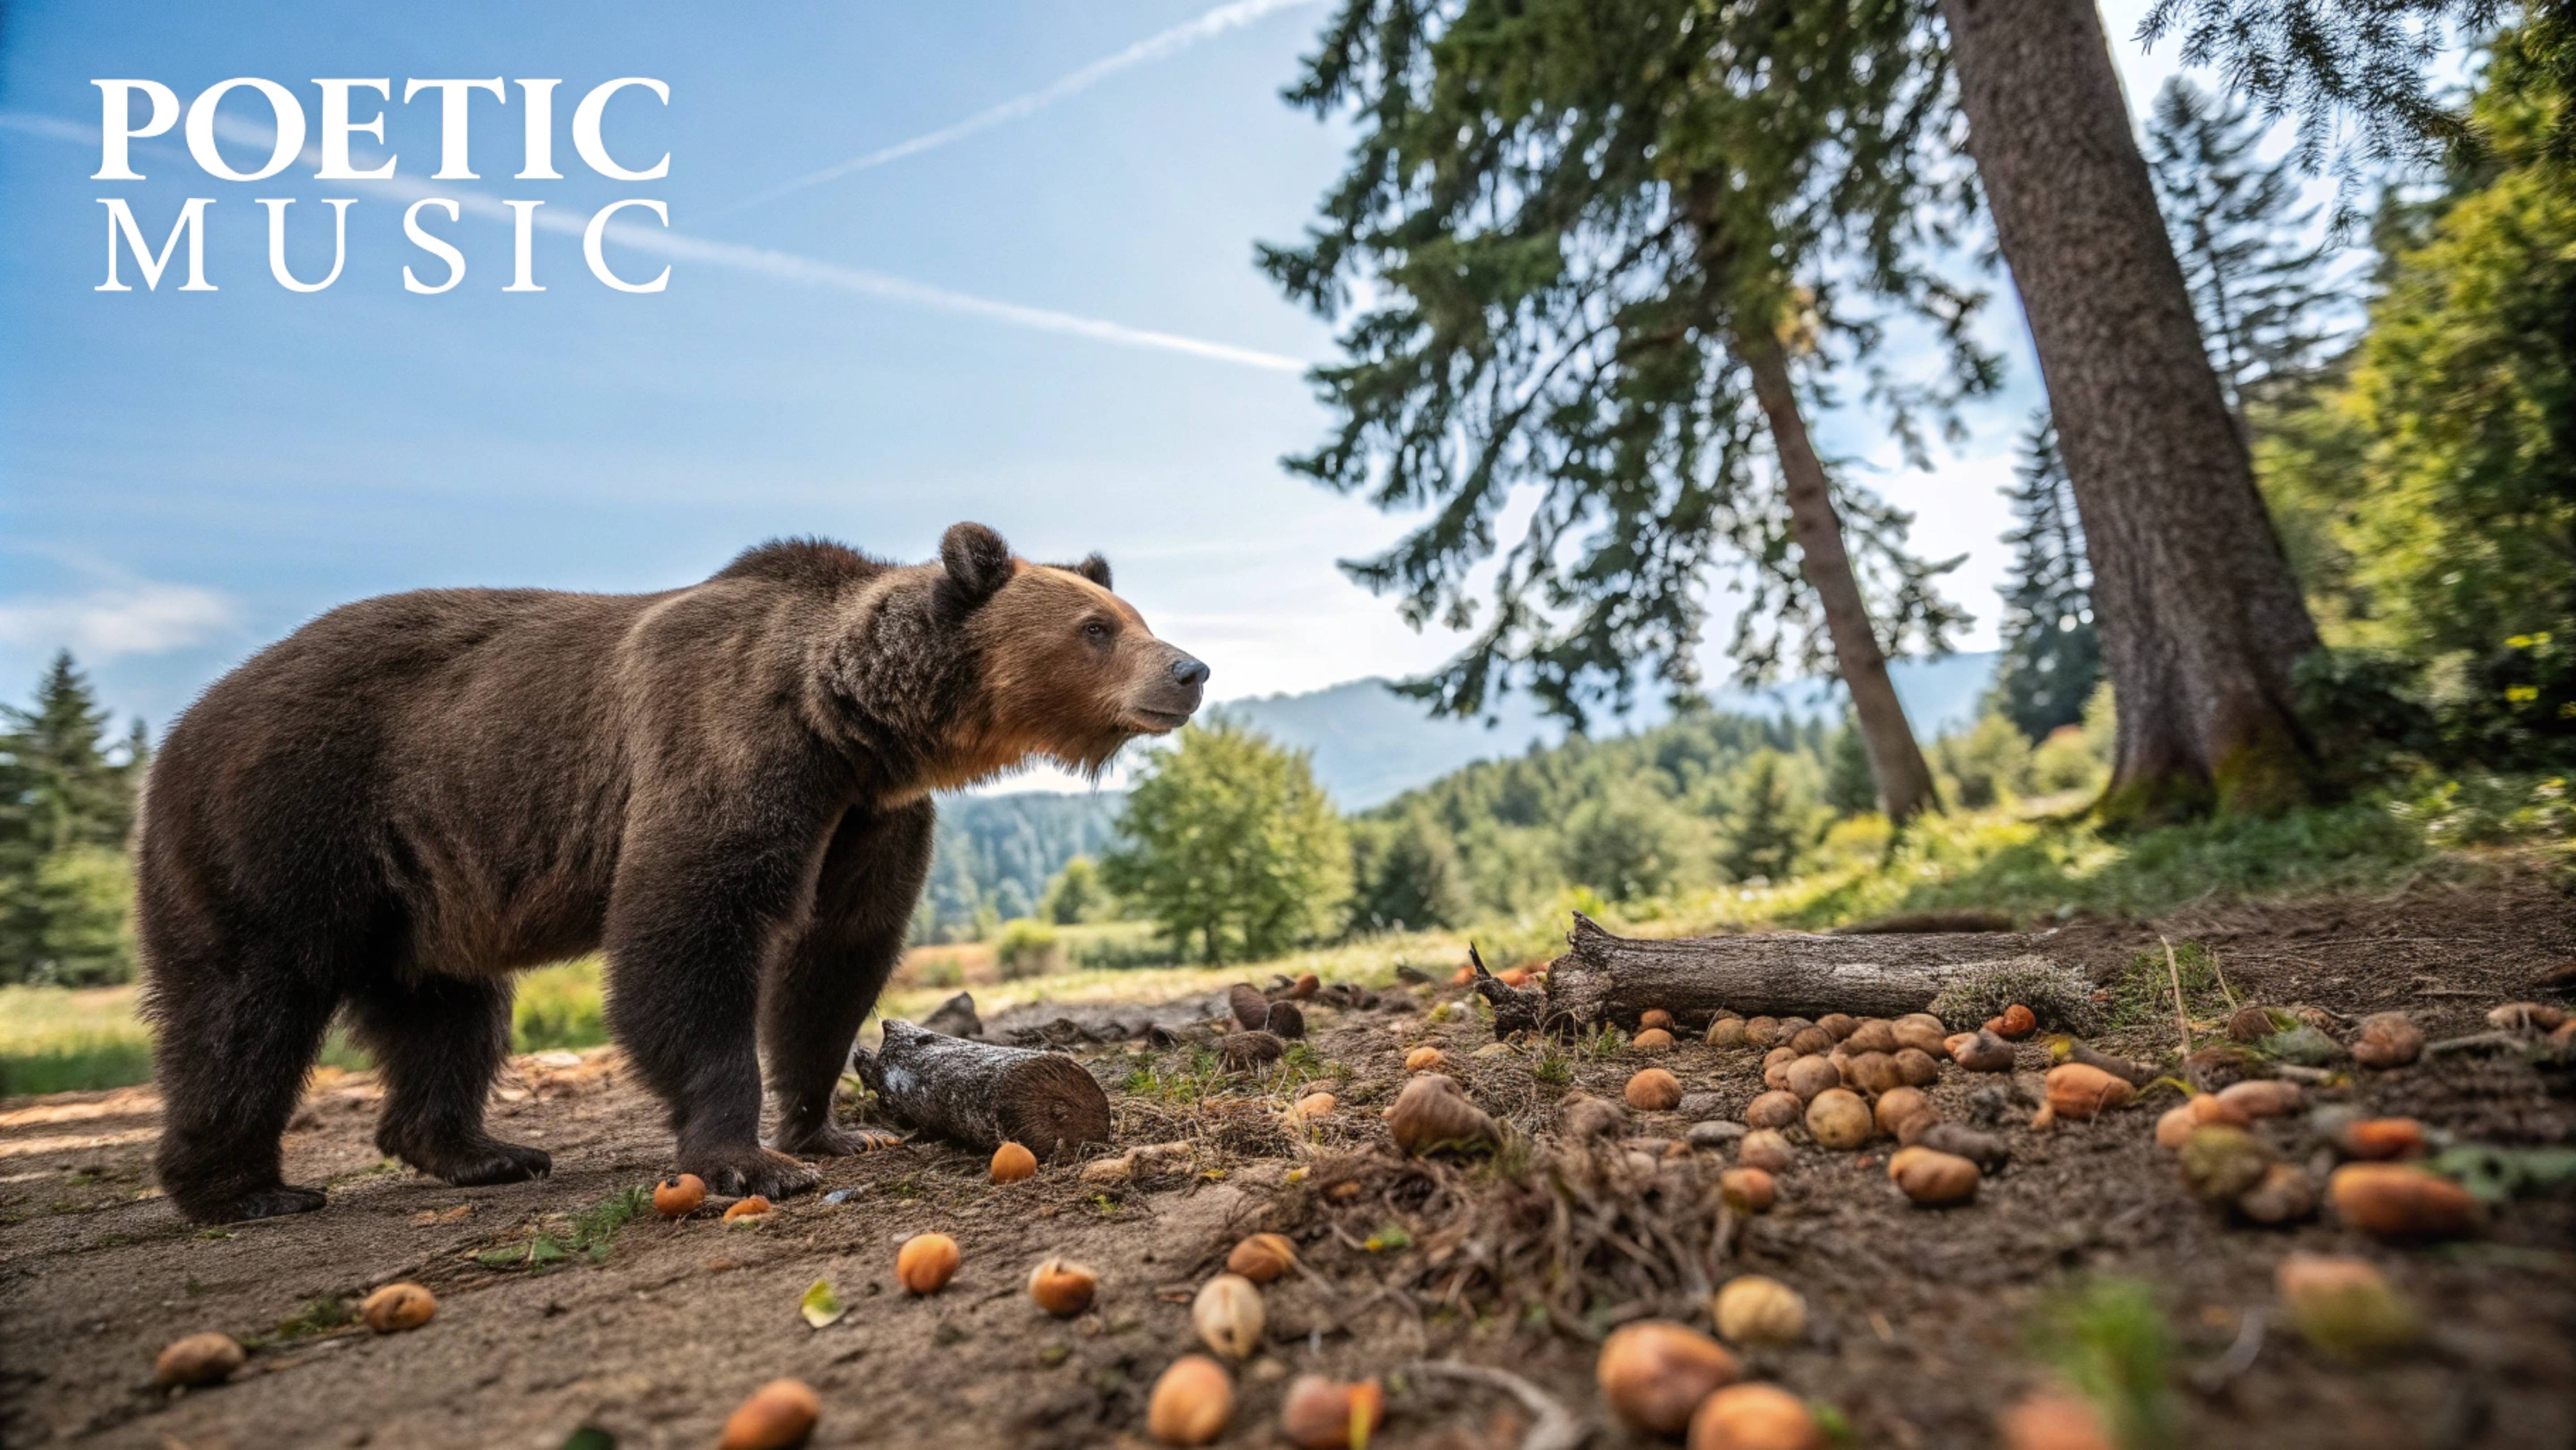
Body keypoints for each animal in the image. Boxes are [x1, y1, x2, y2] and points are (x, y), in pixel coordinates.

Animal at [131, 525, 1195, 1226]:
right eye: (1096, 628)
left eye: (1130, 614)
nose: (1189, 671)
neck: (851, 722)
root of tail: (185, 723)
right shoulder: (731, 747)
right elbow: (692, 931)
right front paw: (749, 1160)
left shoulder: (867, 819)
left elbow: (836, 957)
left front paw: (830, 1128)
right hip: (290, 816)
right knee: (248, 1002)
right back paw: (246, 1189)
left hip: (427, 886)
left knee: (448, 1013)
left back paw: (484, 1152)